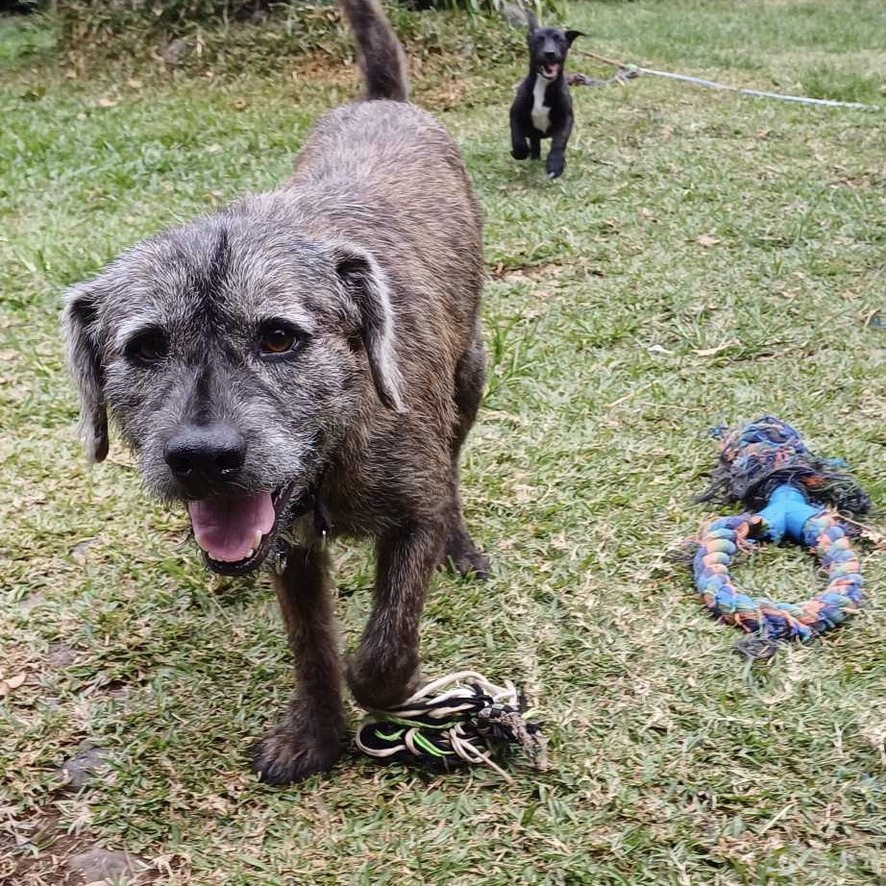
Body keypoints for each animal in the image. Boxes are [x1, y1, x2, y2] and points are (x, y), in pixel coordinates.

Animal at [64, 0, 486, 784]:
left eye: (280, 338)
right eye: (144, 348)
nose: (203, 459)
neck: (333, 450)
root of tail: (383, 102)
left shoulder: (412, 513)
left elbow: (382, 653)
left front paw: (406, 692)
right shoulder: (290, 550)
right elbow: (313, 649)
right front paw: (317, 736)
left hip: (471, 375)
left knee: (455, 464)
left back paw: (462, 544)